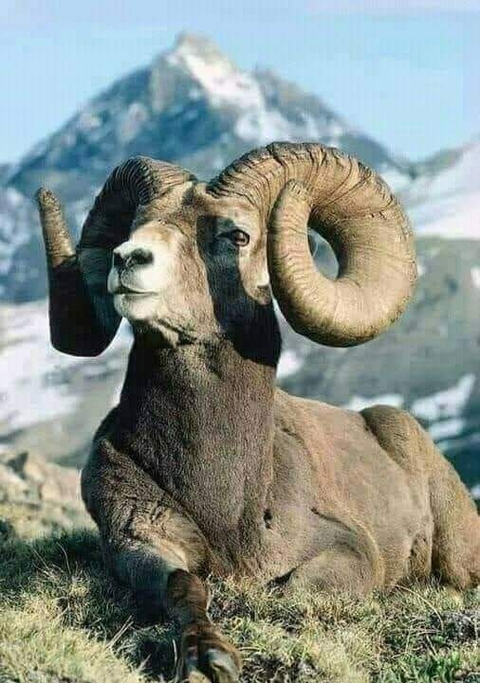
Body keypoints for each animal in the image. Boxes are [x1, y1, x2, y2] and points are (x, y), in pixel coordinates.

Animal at [36, 143, 480, 683]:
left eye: (238, 236)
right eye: (135, 226)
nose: (128, 259)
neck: (226, 499)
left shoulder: (349, 551)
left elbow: (290, 589)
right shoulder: (137, 542)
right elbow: (184, 585)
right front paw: (208, 658)